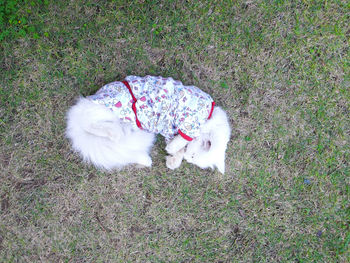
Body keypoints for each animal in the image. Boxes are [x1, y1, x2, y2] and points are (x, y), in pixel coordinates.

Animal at [66, 76, 231, 173]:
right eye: (192, 156)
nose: (188, 158)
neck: (211, 116)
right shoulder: (190, 121)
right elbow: (183, 140)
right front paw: (173, 150)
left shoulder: (170, 132)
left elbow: (177, 149)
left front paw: (172, 161)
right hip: (108, 110)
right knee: (89, 123)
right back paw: (115, 133)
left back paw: (144, 159)